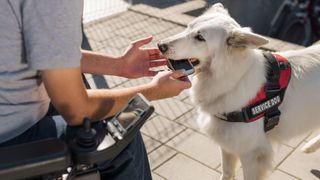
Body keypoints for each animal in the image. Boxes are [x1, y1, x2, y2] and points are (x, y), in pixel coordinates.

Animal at [159, 3, 320, 180]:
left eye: (200, 38)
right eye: (188, 27)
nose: (160, 45)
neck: (235, 79)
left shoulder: (253, 155)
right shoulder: (228, 146)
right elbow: (227, 172)